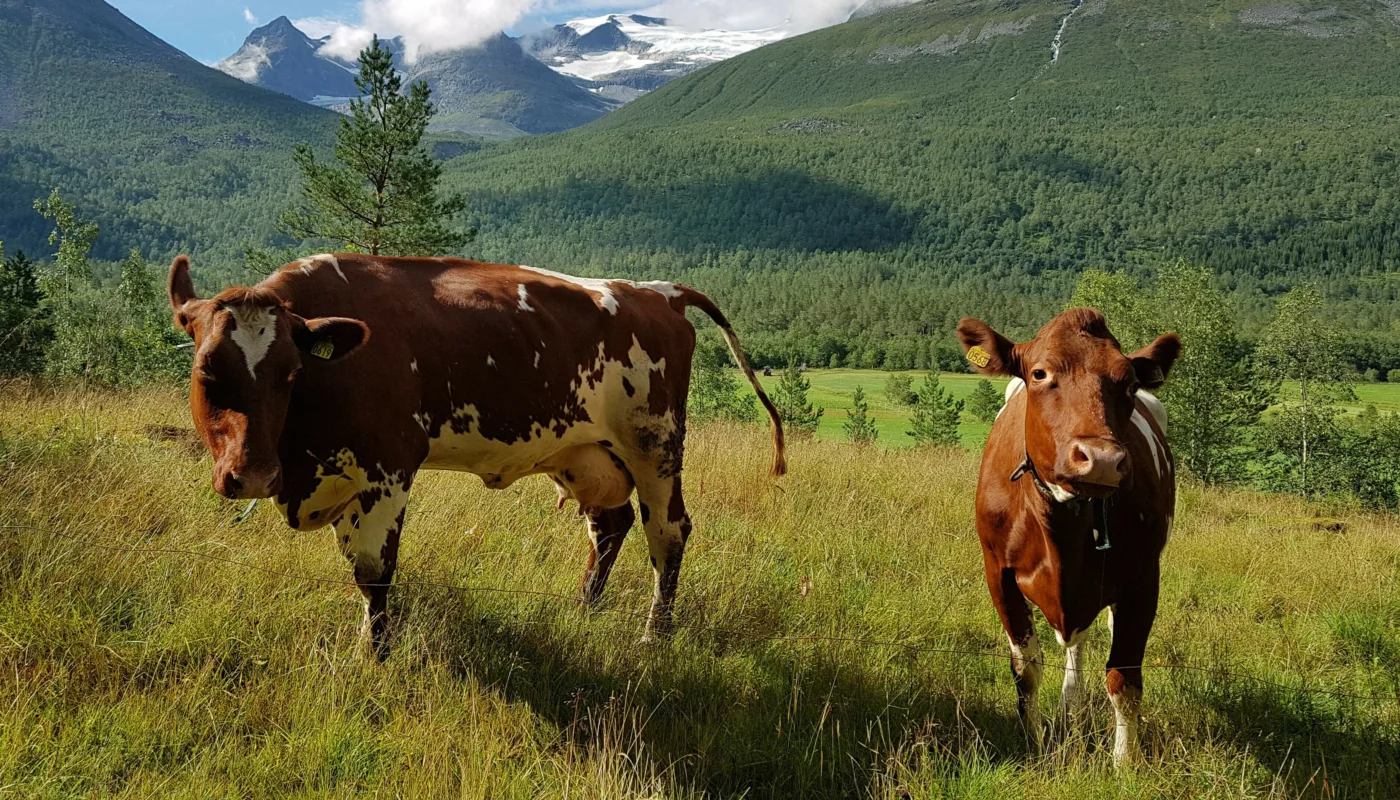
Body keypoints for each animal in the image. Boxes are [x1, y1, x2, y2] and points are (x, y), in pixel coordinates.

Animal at [167, 253, 785, 657]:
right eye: (207, 372)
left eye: (292, 374)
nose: (252, 476)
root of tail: (658, 291)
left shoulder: (389, 467)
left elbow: (373, 571)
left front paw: (376, 654)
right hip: (587, 454)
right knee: (611, 524)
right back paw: (584, 608)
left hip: (655, 447)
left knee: (668, 532)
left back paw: (655, 634)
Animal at [956, 308, 1180, 767]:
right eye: (1039, 373)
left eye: (1128, 382)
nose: (1102, 460)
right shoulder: (997, 573)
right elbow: (1026, 668)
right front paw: (1035, 745)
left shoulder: (1142, 578)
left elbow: (1123, 677)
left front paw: (1124, 763)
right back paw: (1068, 706)